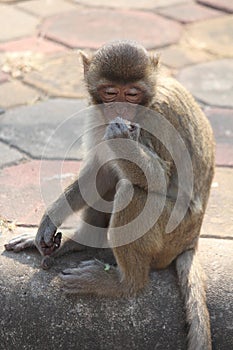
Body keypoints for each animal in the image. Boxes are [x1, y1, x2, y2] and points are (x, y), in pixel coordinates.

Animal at [4, 40, 215, 348]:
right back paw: (81, 242)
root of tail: (192, 240)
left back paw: (124, 283)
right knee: (115, 175)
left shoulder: (157, 119)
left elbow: (159, 177)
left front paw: (121, 137)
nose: (121, 111)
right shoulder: (98, 114)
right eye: (111, 93)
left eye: (132, 94)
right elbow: (100, 170)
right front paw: (49, 220)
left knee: (131, 191)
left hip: (170, 235)